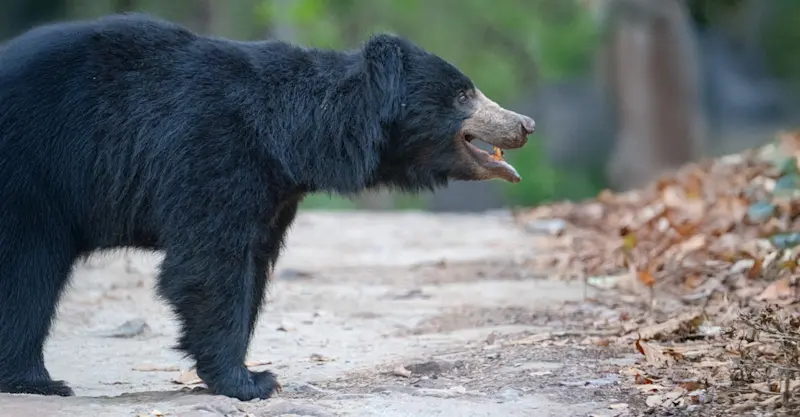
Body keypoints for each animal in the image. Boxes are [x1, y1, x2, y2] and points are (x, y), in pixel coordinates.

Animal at [0, 13, 534, 401]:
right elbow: (208, 265)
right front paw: (250, 382)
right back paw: (36, 380)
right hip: (33, 172)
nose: (525, 124)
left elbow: (251, 266)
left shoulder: (273, 194)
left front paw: (246, 373)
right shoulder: (215, 153)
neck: (294, 136)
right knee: (28, 273)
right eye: (463, 94)